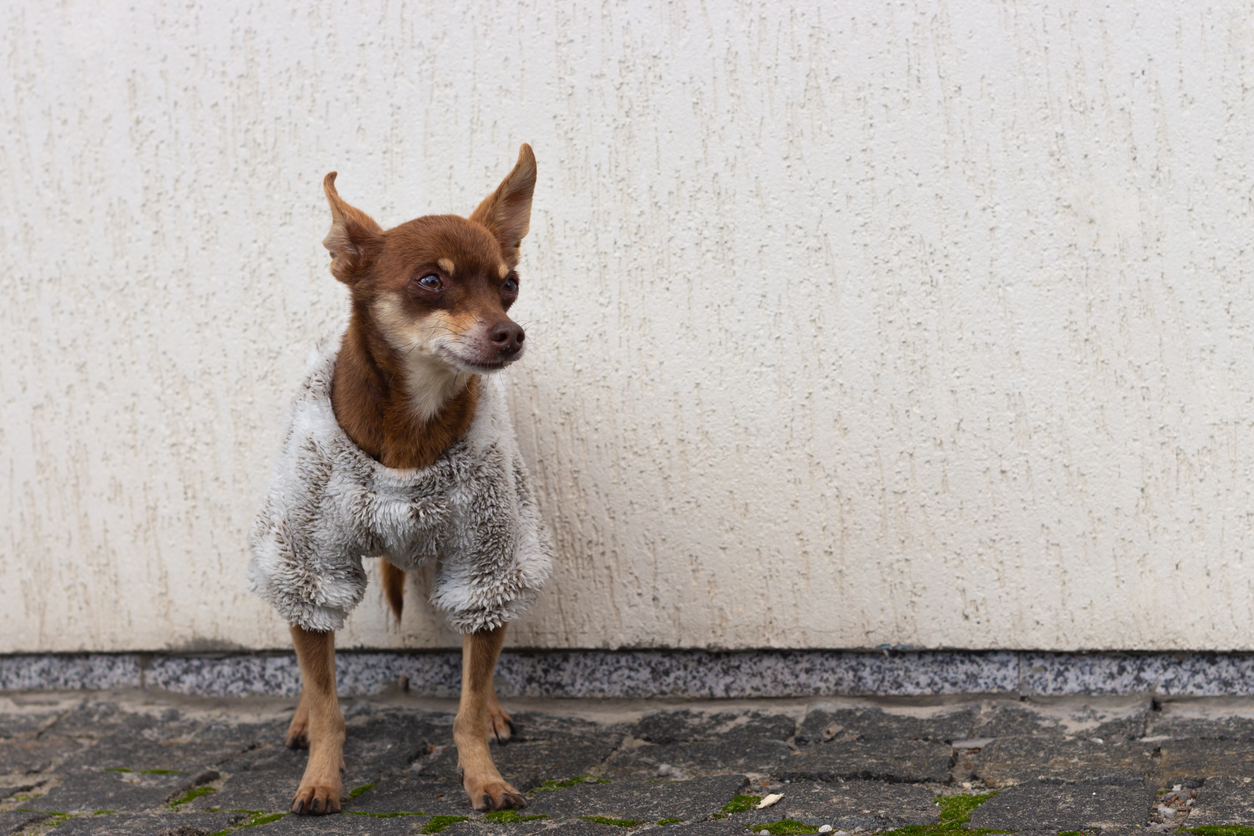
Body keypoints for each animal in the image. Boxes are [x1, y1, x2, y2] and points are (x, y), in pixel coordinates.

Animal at [247, 145, 551, 817]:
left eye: (509, 285)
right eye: (429, 281)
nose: (510, 333)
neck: (412, 425)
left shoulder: (487, 558)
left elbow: (468, 696)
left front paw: (482, 774)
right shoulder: (313, 562)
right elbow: (329, 700)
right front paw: (320, 778)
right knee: (308, 647)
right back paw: (302, 716)